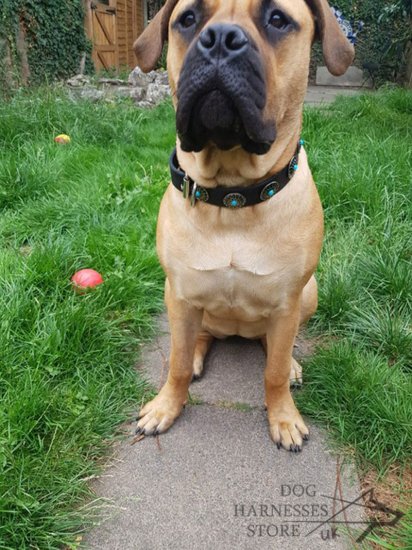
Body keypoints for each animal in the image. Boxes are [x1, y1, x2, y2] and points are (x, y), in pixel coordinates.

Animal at [134, 0, 352, 452]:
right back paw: (198, 355)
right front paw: (166, 406)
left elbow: (273, 372)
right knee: (197, 339)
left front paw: (284, 417)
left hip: (309, 292)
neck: (232, 196)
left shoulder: (287, 302)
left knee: (276, 348)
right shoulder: (180, 292)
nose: (220, 39)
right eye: (188, 19)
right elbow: (176, 363)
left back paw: (291, 365)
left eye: (277, 19)